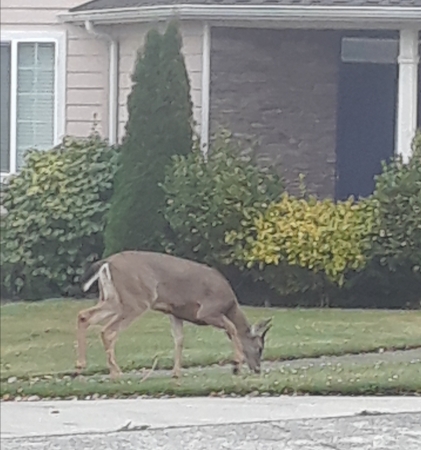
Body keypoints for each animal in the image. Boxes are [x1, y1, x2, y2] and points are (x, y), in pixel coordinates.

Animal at [75, 251, 272, 378]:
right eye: (259, 348)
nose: (258, 370)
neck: (230, 305)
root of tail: (106, 263)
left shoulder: (175, 312)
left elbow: (179, 339)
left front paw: (176, 373)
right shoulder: (207, 311)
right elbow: (232, 327)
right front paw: (236, 365)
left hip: (111, 298)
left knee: (84, 316)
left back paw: (81, 365)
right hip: (136, 300)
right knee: (107, 330)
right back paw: (116, 372)